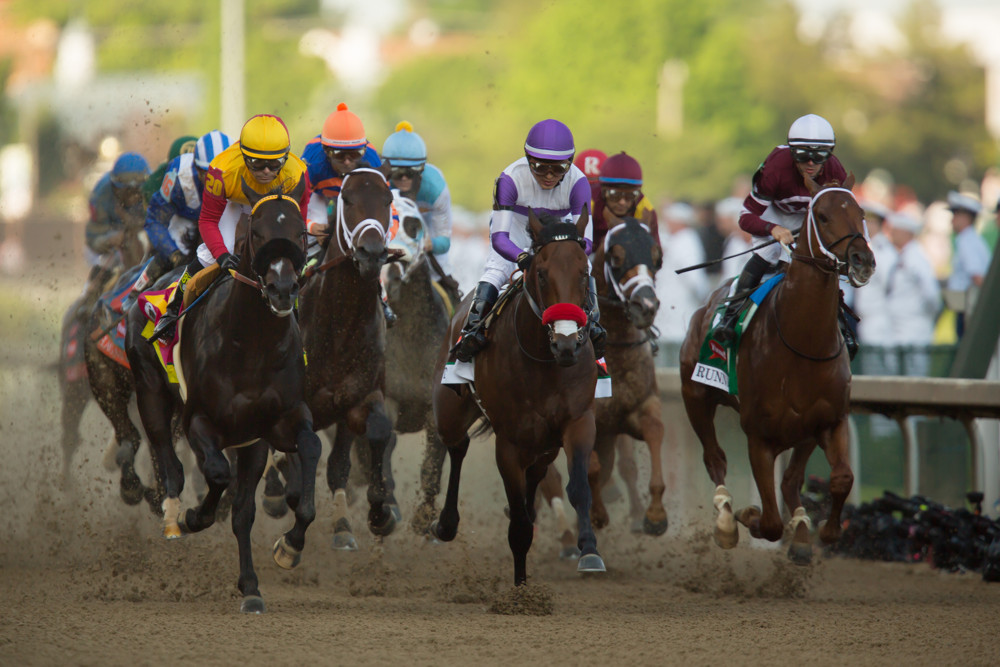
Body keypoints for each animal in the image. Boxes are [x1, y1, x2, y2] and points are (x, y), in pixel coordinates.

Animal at [125, 179, 320, 616]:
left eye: (300, 232)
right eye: (257, 233)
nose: (283, 290)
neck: (253, 345)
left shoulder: (271, 428)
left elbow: (307, 454)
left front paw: (285, 550)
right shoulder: (201, 420)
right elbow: (215, 474)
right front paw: (195, 517)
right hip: (150, 391)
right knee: (169, 460)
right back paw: (174, 517)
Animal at [294, 168, 396, 552]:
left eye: (388, 199)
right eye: (347, 199)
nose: (371, 253)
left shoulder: (357, 398)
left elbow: (375, 433)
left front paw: (377, 515)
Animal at [430, 209, 600, 584]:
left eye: (584, 273)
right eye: (542, 273)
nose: (567, 345)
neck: (545, 363)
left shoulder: (578, 422)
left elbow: (579, 488)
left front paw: (590, 551)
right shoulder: (508, 442)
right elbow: (518, 525)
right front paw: (521, 587)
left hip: (545, 445)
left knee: (536, 476)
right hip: (450, 410)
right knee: (457, 445)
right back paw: (445, 525)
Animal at [680, 174, 876, 564]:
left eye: (861, 213)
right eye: (822, 215)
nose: (862, 260)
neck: (802, 344)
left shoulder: (830, 421)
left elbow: (841, 479)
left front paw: (826, 530)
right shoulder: (759, 435)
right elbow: (768, 522)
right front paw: (747, 515)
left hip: (804, 432)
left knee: (790, 480)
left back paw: (800, 531)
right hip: (695, 396)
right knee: (715, 457)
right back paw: (726, 520)